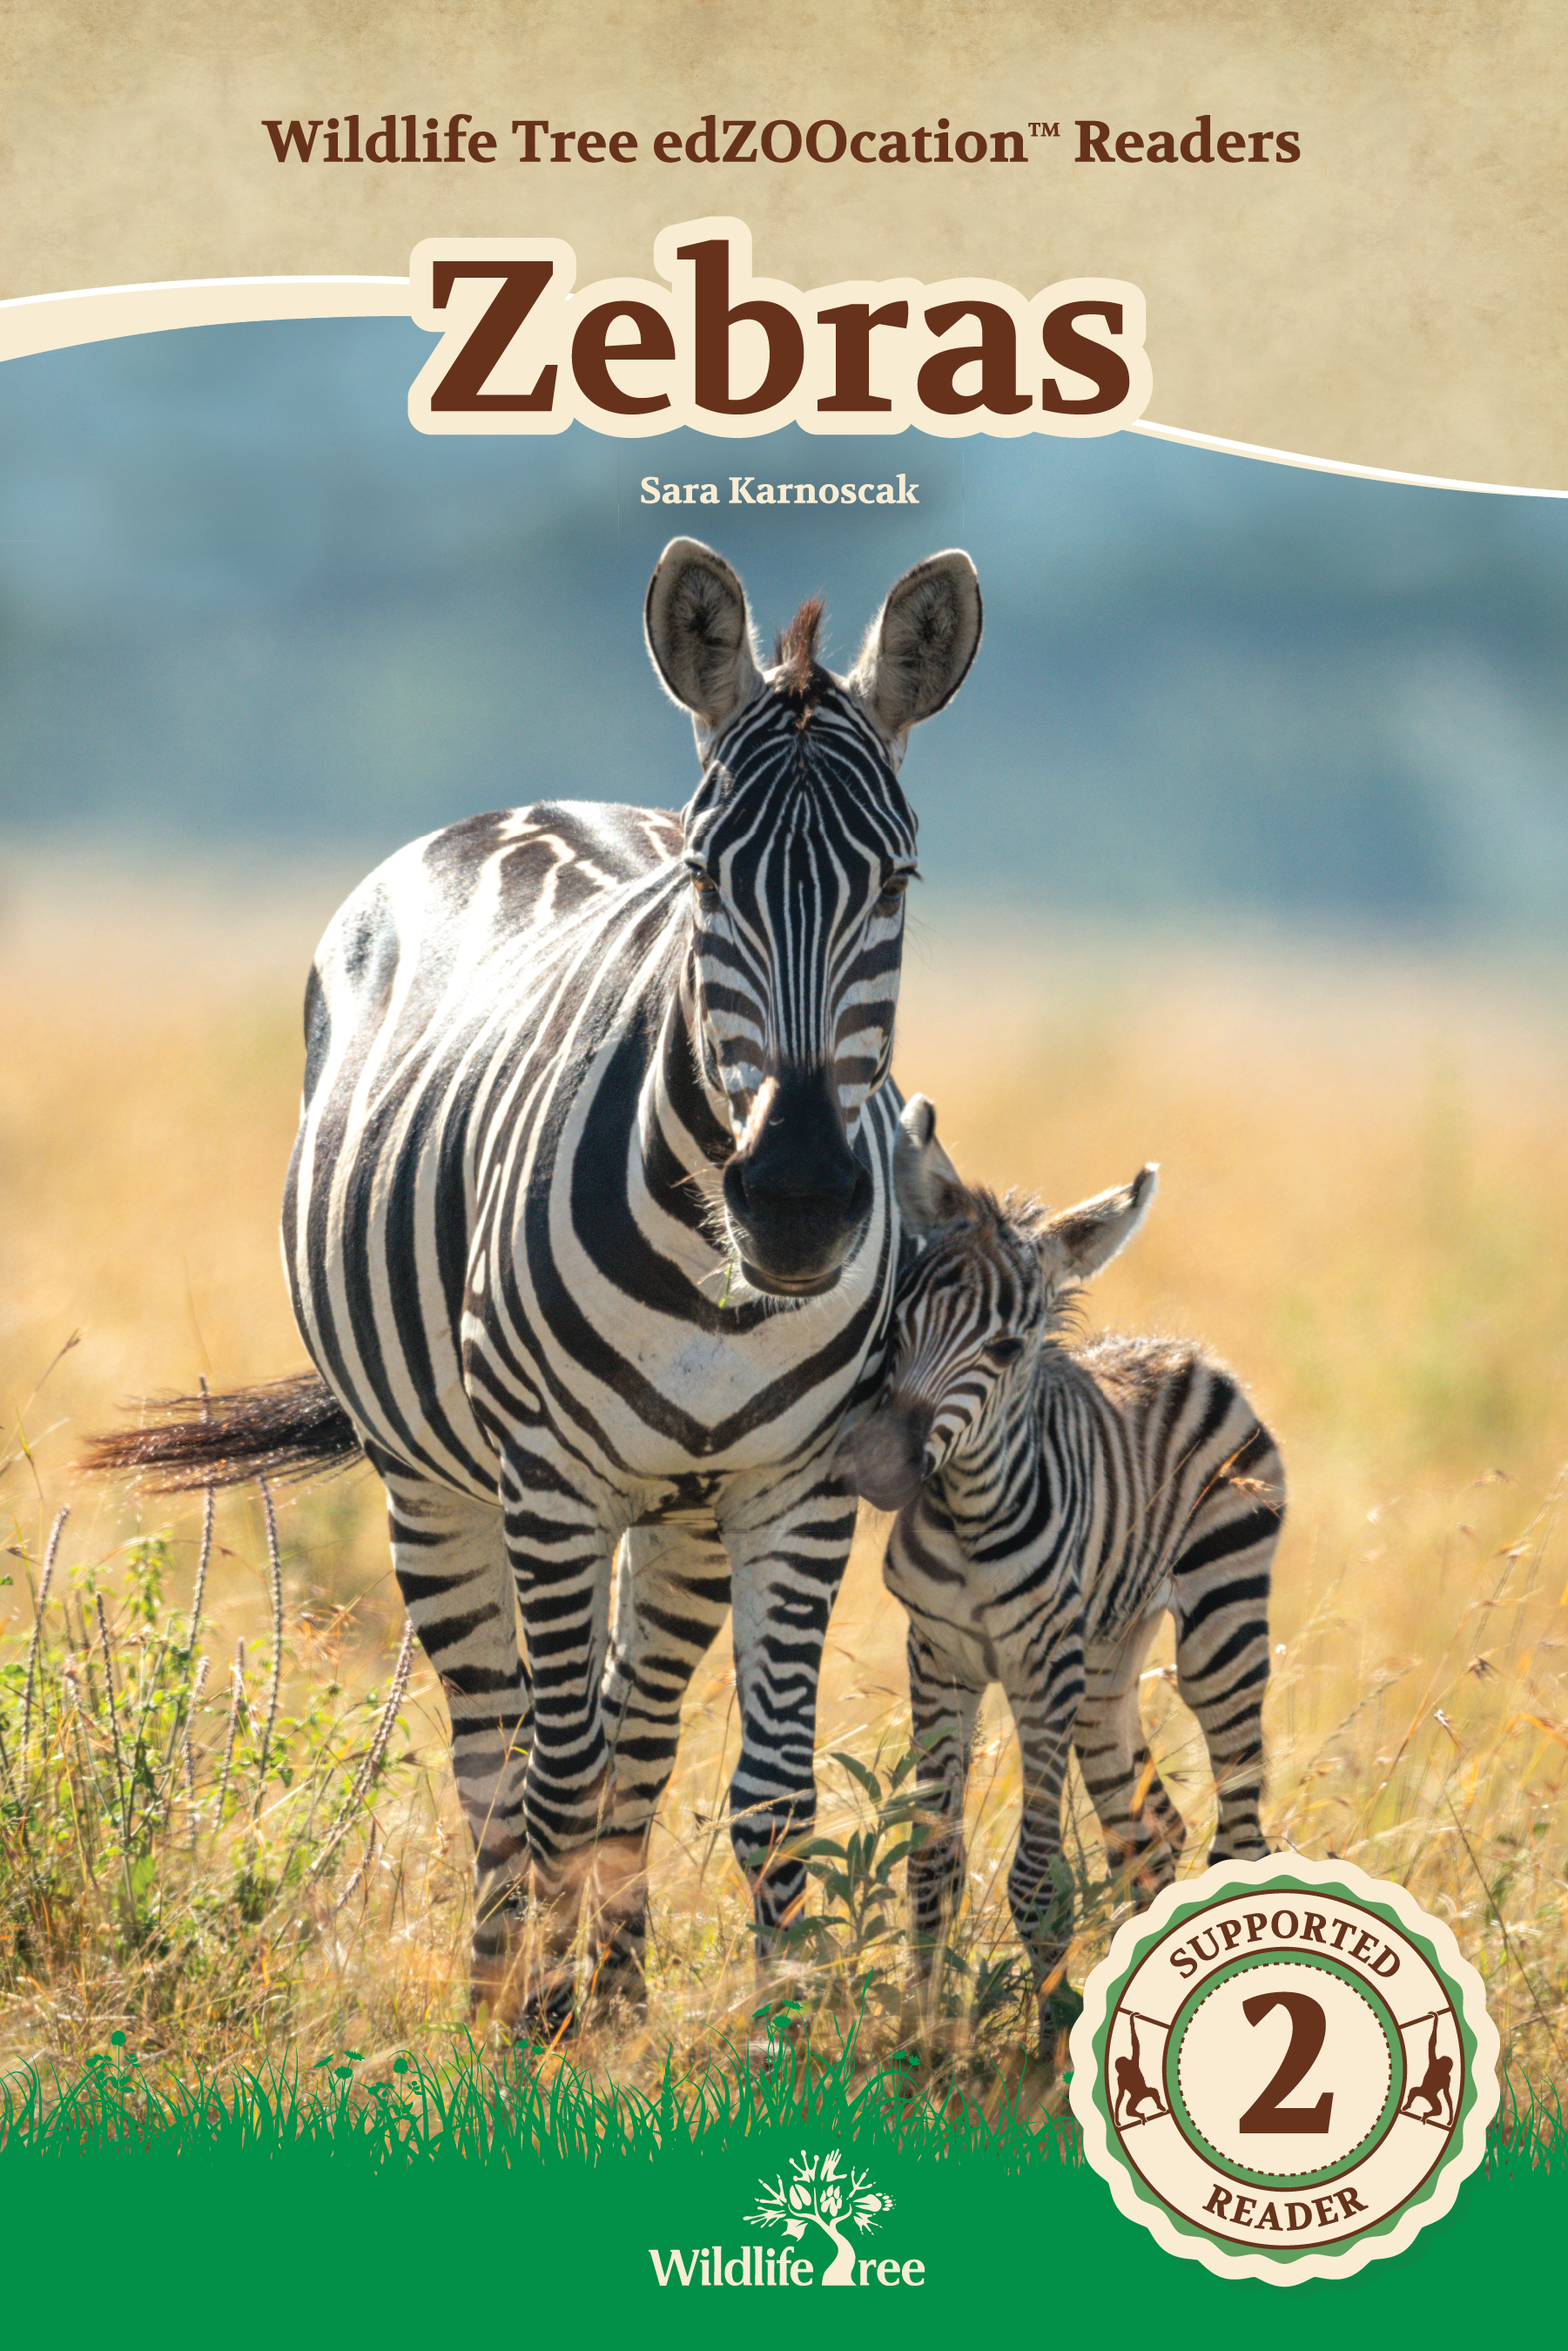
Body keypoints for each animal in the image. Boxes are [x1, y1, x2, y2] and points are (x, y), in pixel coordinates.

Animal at [92, 540, 983, 2034]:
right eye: (707, 881)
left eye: (899, 883)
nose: (799, 1201)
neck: (719, 1285)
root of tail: (525, 807)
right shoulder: (553, 1483)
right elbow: (553, 1780)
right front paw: (531, 2033)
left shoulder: (796, 1489)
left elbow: (771, 1801)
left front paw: (769, 2034)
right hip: (439, 1485)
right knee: (500, 1749)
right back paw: (505, 1978)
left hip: (679, 1512)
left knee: (635, 1736)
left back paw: (614, 1992)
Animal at [832, 1096, 1282, 2057]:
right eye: (896, 1320)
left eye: (1007, 1349)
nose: (873, 1468)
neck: (970, 1515)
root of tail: (1187, 1352)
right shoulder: (939, 1658)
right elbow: (932, 1860)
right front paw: (924, 2034)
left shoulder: (1042, 1669)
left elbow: (1039, 1881)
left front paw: (1043, 2047)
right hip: (1108, 1662)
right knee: (1151, 1833)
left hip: (1218, 1625)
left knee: (1237, 1833)